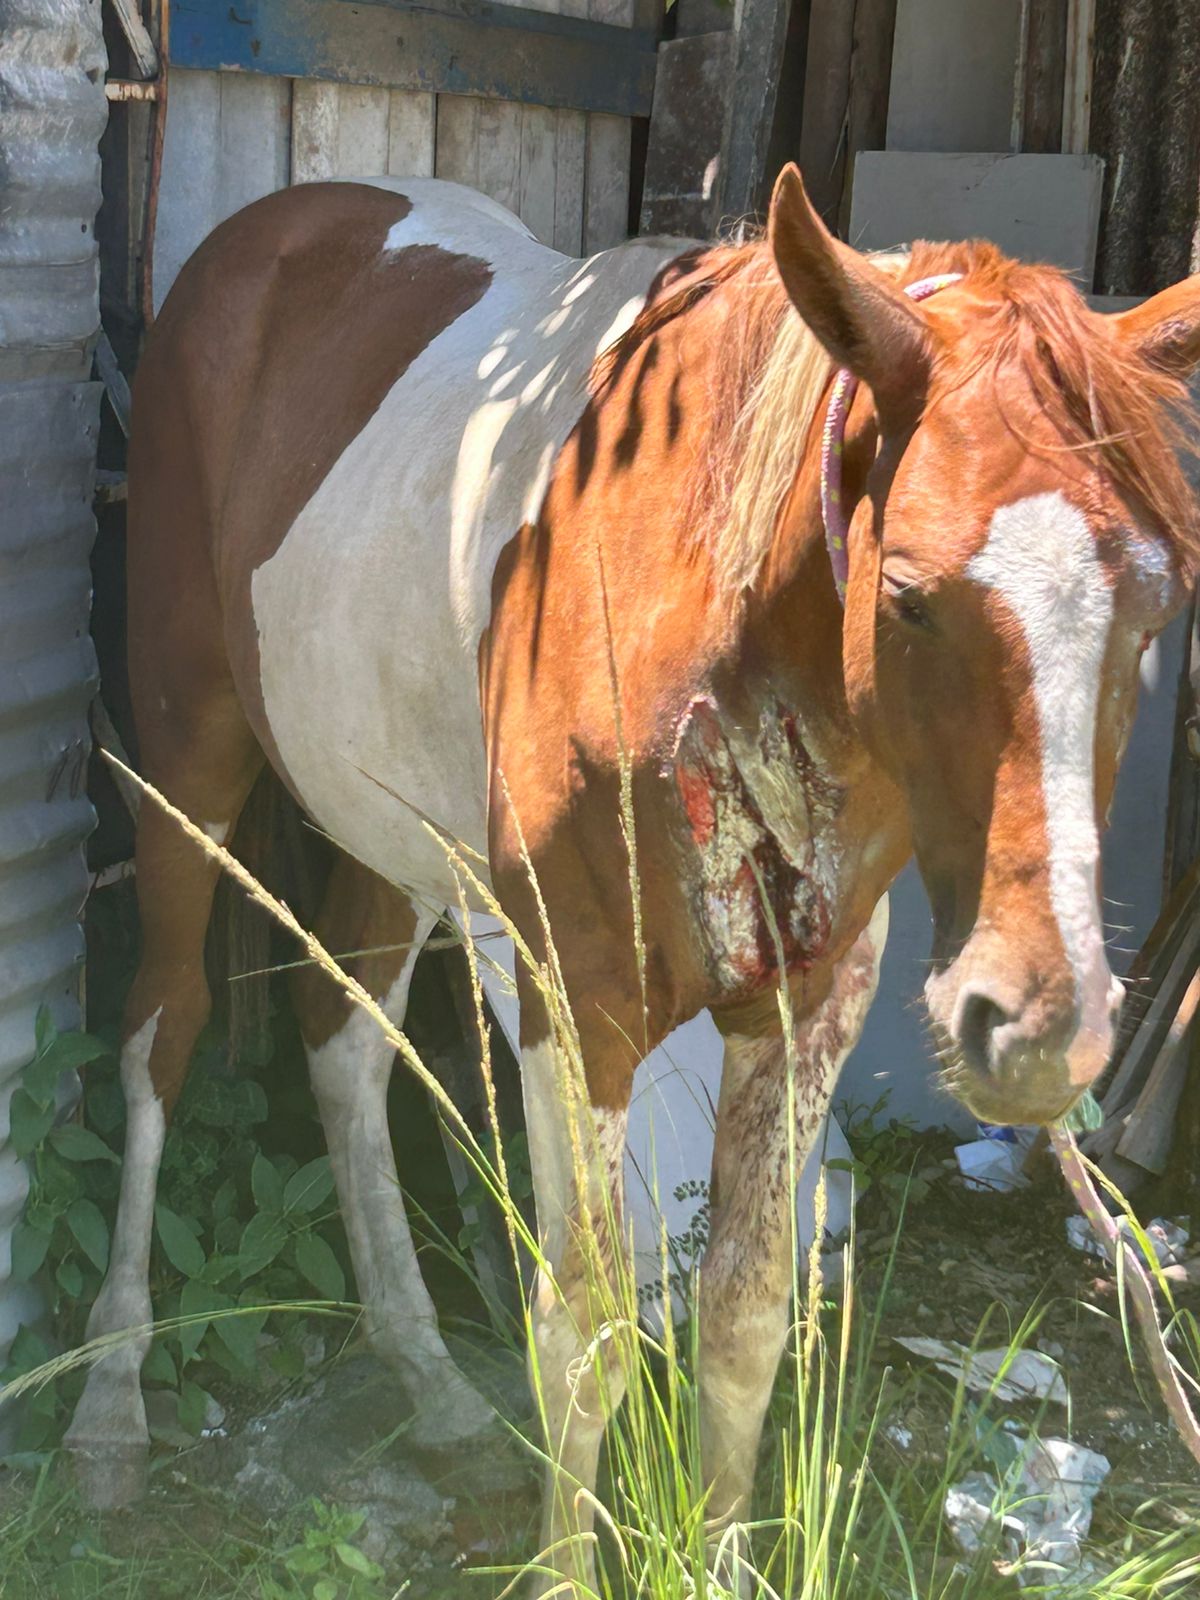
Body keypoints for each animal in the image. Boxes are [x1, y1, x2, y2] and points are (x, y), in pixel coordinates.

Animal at [65, 163, 1200, 1591]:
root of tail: (267, 230)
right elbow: (585, 1327)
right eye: (906, 593)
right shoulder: (574, 997)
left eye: (1155, 610)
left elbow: (746, 1312)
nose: (1043, 1025)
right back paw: (110, 1406)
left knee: (344, 1042)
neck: (707, 617)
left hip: (397, 832)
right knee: (161, 1032)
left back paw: (433, 1390)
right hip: (189, 763)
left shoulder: (808, 1003)